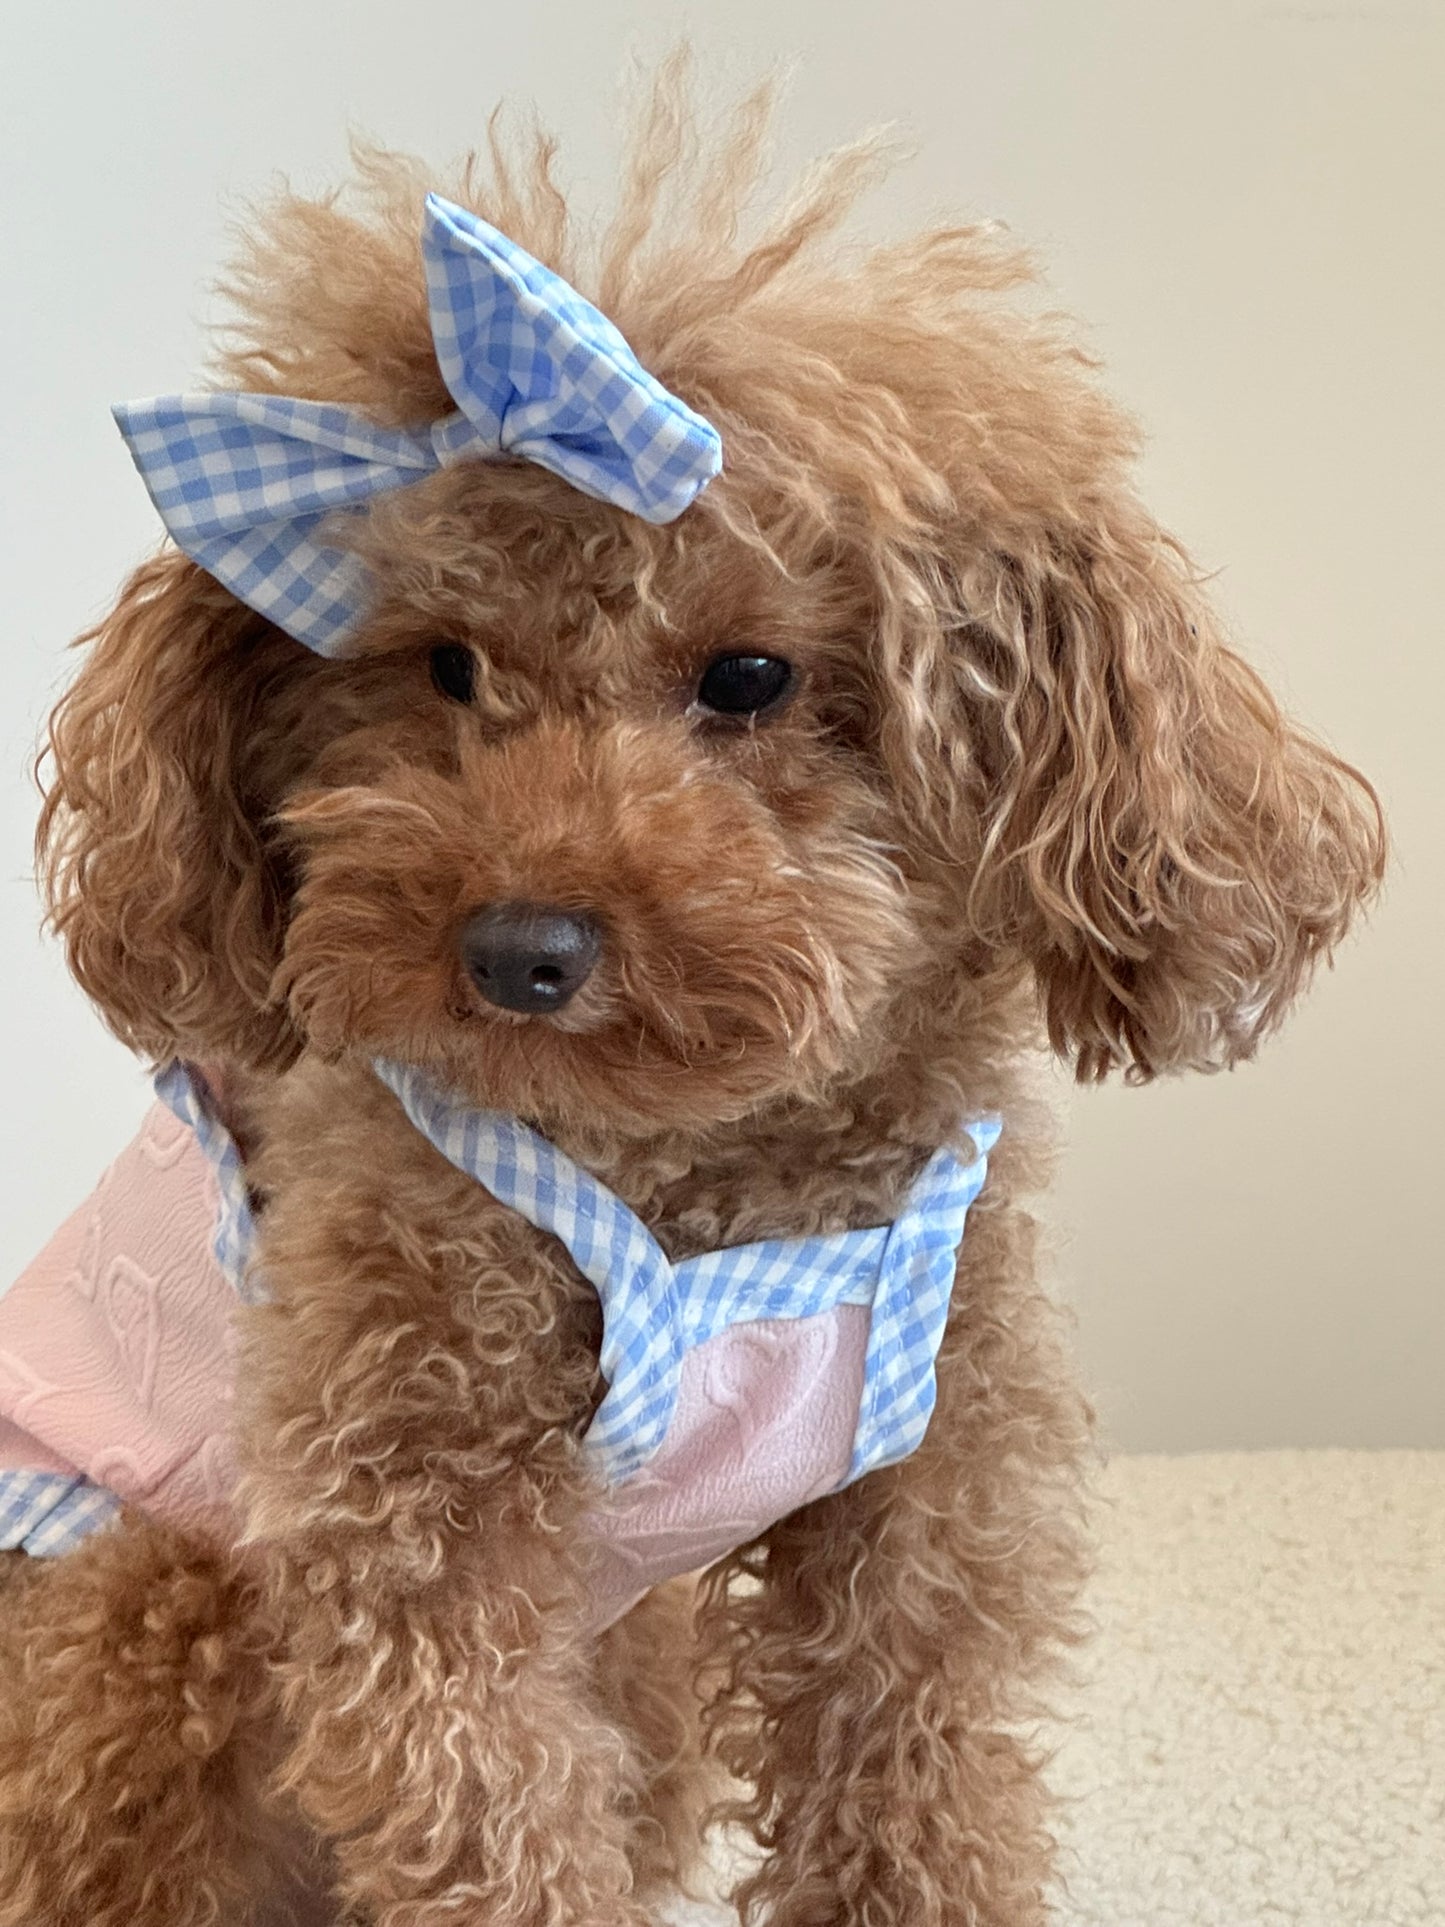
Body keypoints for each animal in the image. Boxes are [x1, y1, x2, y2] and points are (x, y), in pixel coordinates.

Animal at [0, 67, 1387, 1927]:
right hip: (141, 1602)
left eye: (748, 676)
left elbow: (913, 1774)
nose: (519, 947)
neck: (713, 1175)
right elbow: (498, 1825)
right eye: (446, 667)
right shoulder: (412, 1526)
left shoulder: (919, 1497)